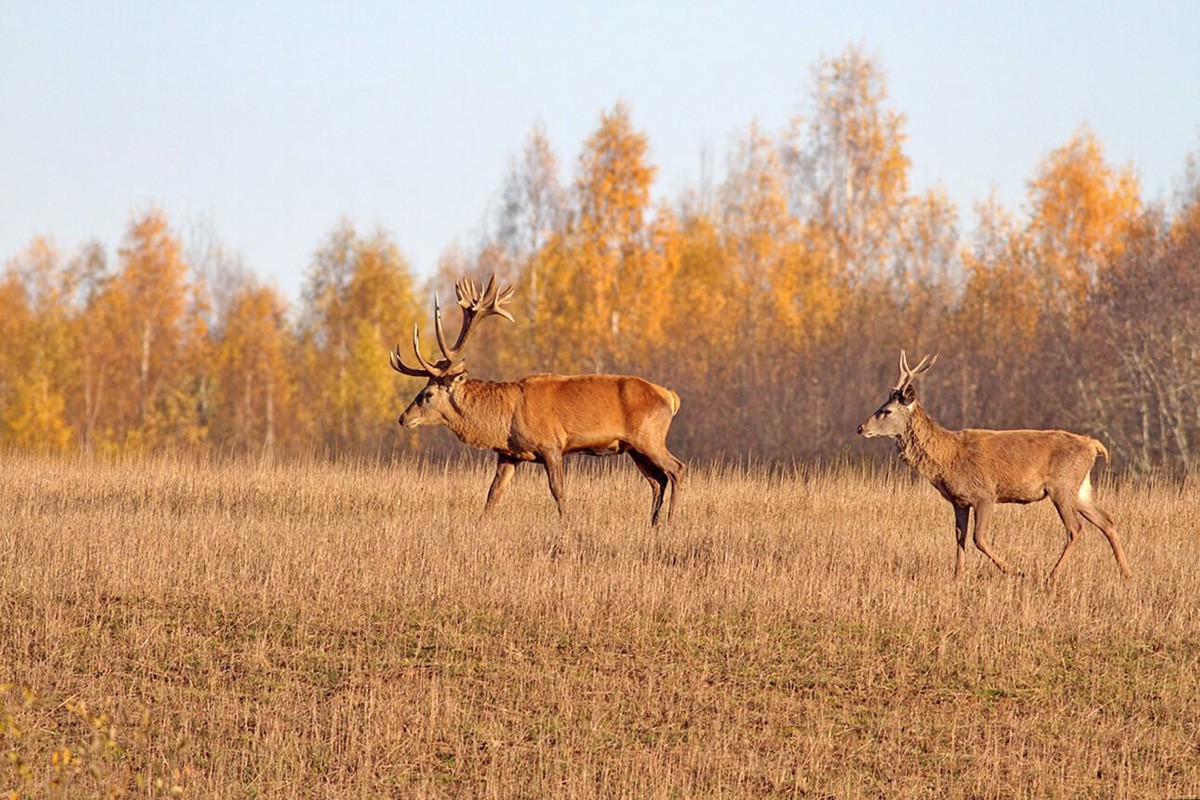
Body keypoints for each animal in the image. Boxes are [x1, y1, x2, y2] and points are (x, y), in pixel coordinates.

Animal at [391, 275, 686, 525]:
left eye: (427, 394)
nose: (403, 418)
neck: (504, 419)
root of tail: (671, 397)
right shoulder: (509, 454)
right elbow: (493, 494)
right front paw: (480, 524)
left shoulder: (551, 445)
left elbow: (558, 491)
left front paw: (567, 524)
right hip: (635, 448)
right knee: (657, 480)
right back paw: (653, 523)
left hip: (649, 437)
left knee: (676, 469)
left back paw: (671, 521)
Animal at [859, 347, 1128, 582]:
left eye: (886, 410)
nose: (860, 428)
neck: (947, 458)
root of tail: (1093, 445)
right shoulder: (959, 501)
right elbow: (959, 537)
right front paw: (957, 577)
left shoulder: (984, 494)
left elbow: (979, 538)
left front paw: (1017, 571)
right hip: (1080, 489)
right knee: (1107, 521)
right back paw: (1126, 573)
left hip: (1062, 486)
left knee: (1075, 528)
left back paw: (1051, 576)